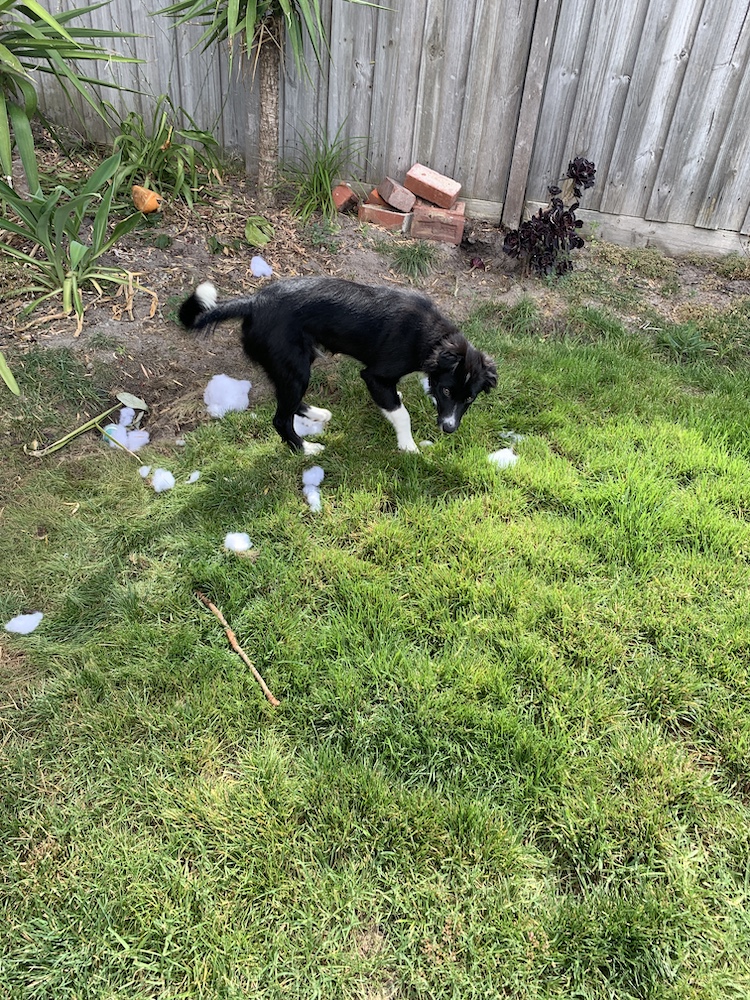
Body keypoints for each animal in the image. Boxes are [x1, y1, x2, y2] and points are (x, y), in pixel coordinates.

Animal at [179, 276, 497, 455]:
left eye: (469, 398)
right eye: (447, 391)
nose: (449, 429)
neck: (434, 337)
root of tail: (254, 302)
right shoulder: (374, 375)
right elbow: (401, 414)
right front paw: (408, 446)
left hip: (293, 364)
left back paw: (317, 414)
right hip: (295, 366)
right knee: (280, 418)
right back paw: (306, 449)